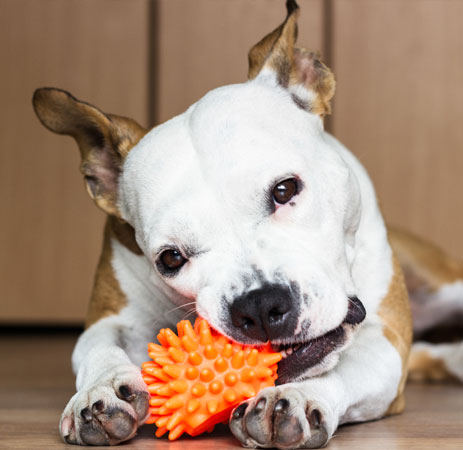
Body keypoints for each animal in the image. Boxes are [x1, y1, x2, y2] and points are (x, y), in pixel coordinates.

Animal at [32, 1, 463, 448]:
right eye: (171, 258)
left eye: (285, 189)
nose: (259, 306)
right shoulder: (113, 315)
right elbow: (96, 345)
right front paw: (99, 390)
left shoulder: (384, 341)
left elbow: (343, 366)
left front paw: (296, 396)